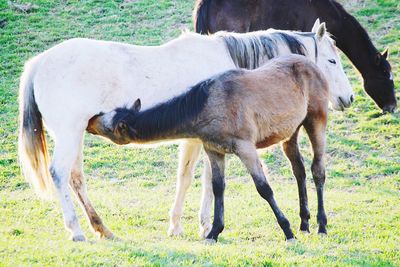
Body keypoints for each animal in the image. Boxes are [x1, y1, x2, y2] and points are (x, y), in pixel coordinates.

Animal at [18, 21, 352, 242]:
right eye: (332, 60)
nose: (348, 98)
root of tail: (39, 63)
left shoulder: (196, 139)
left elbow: (188, 177)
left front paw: (180, 225)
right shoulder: (205, 141)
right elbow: (202, 180)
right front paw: (204, 225)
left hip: (73, 137)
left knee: (75, 178)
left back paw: (102, 228)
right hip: (70, 135)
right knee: (60, 174)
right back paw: (76, 230)